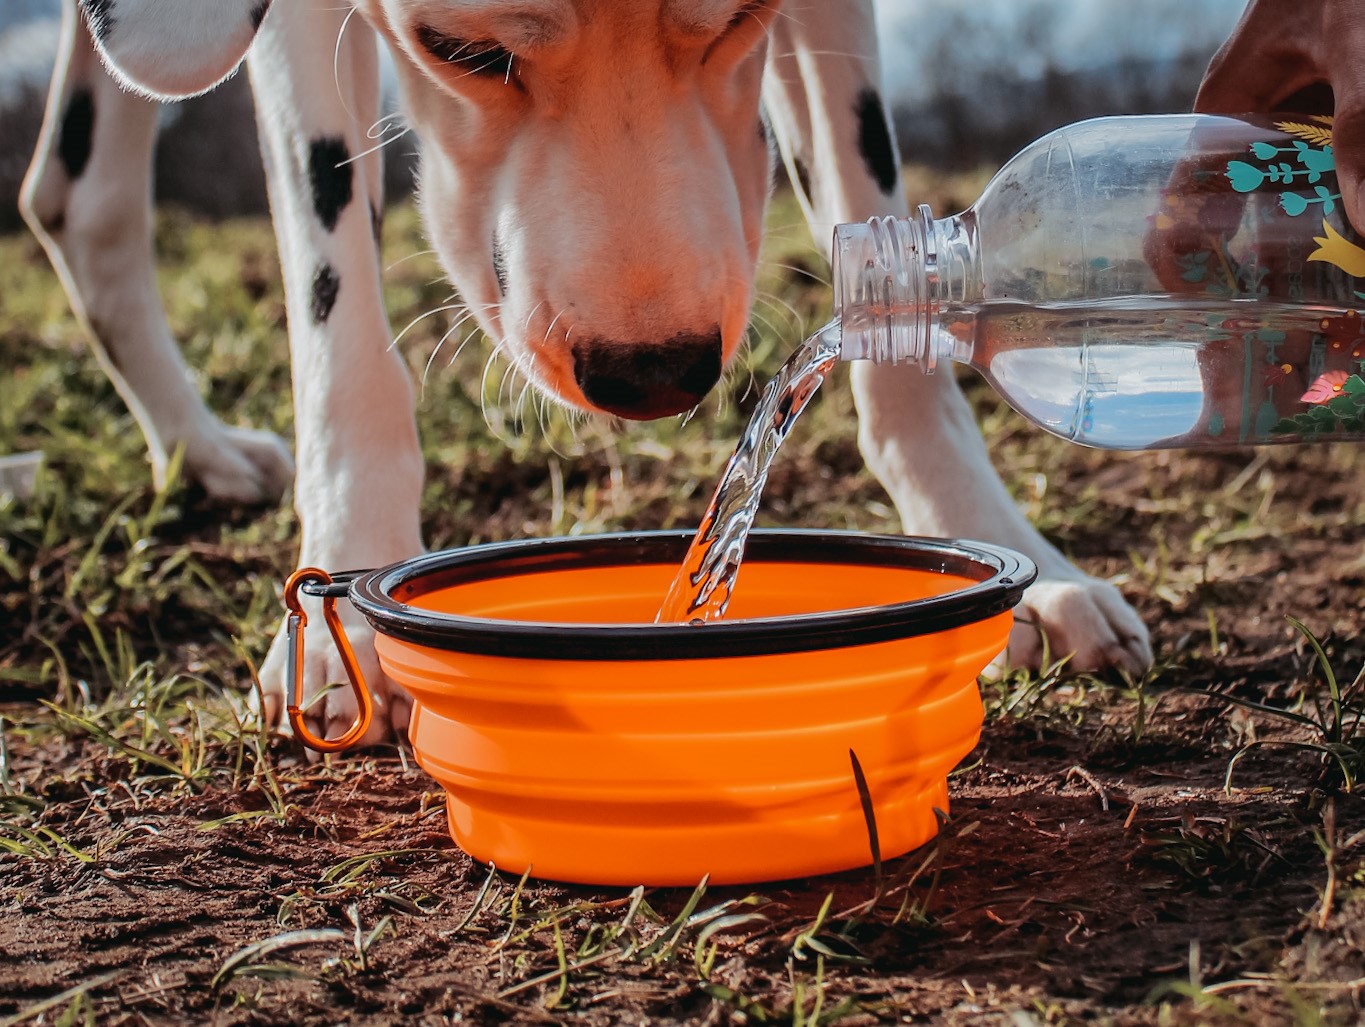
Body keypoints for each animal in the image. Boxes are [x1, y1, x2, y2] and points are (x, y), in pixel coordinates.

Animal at [21, 0, 1152, 742]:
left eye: (739, 16)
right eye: (458, 49)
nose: (652, 374)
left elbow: (878, 253)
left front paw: (1014, 553)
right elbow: (335, 310)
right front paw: (344, 595)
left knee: (72, 196)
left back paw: (193, 445)